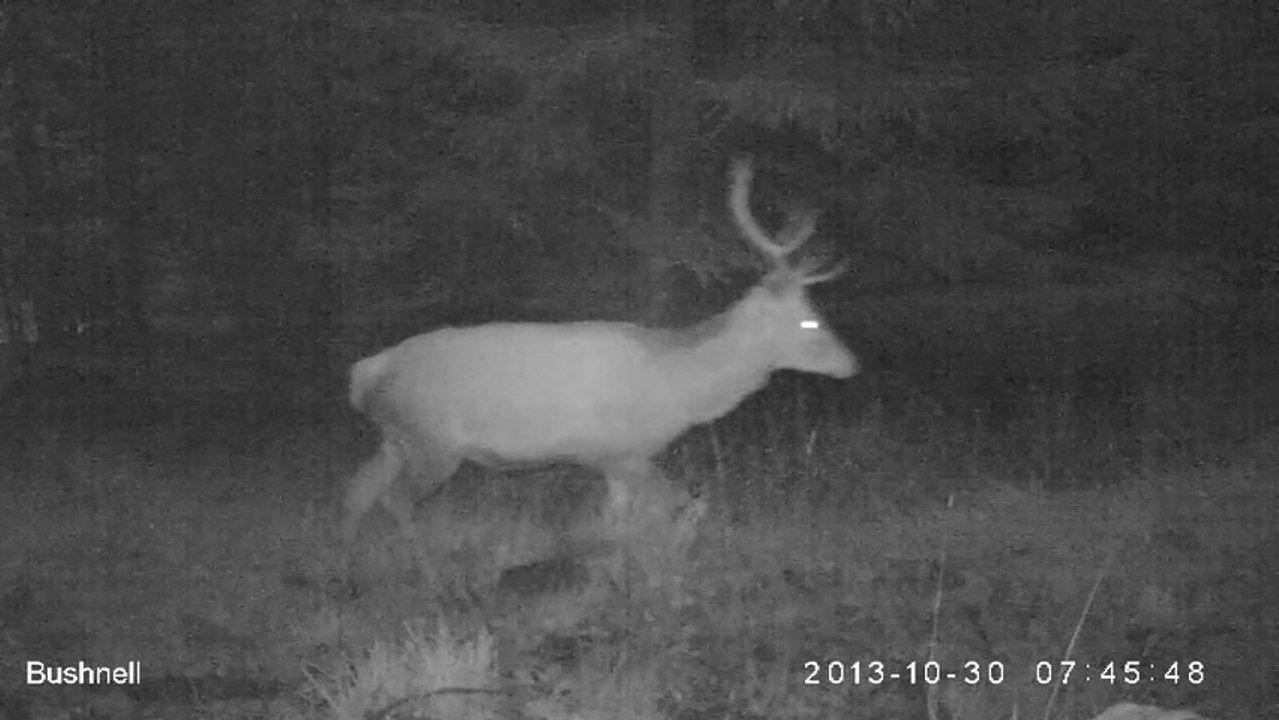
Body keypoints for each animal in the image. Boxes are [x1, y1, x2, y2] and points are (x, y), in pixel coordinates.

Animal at [343, 158, 858, 551]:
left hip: (396, 439)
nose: (851, 363)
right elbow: (667, 509)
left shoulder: (614, 461)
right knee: (394, 499)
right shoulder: (623, 450)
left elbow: (621, 520)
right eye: (809, 321)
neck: (680, 388)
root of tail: (366, 372)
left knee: (357, 491)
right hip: (431, 441)